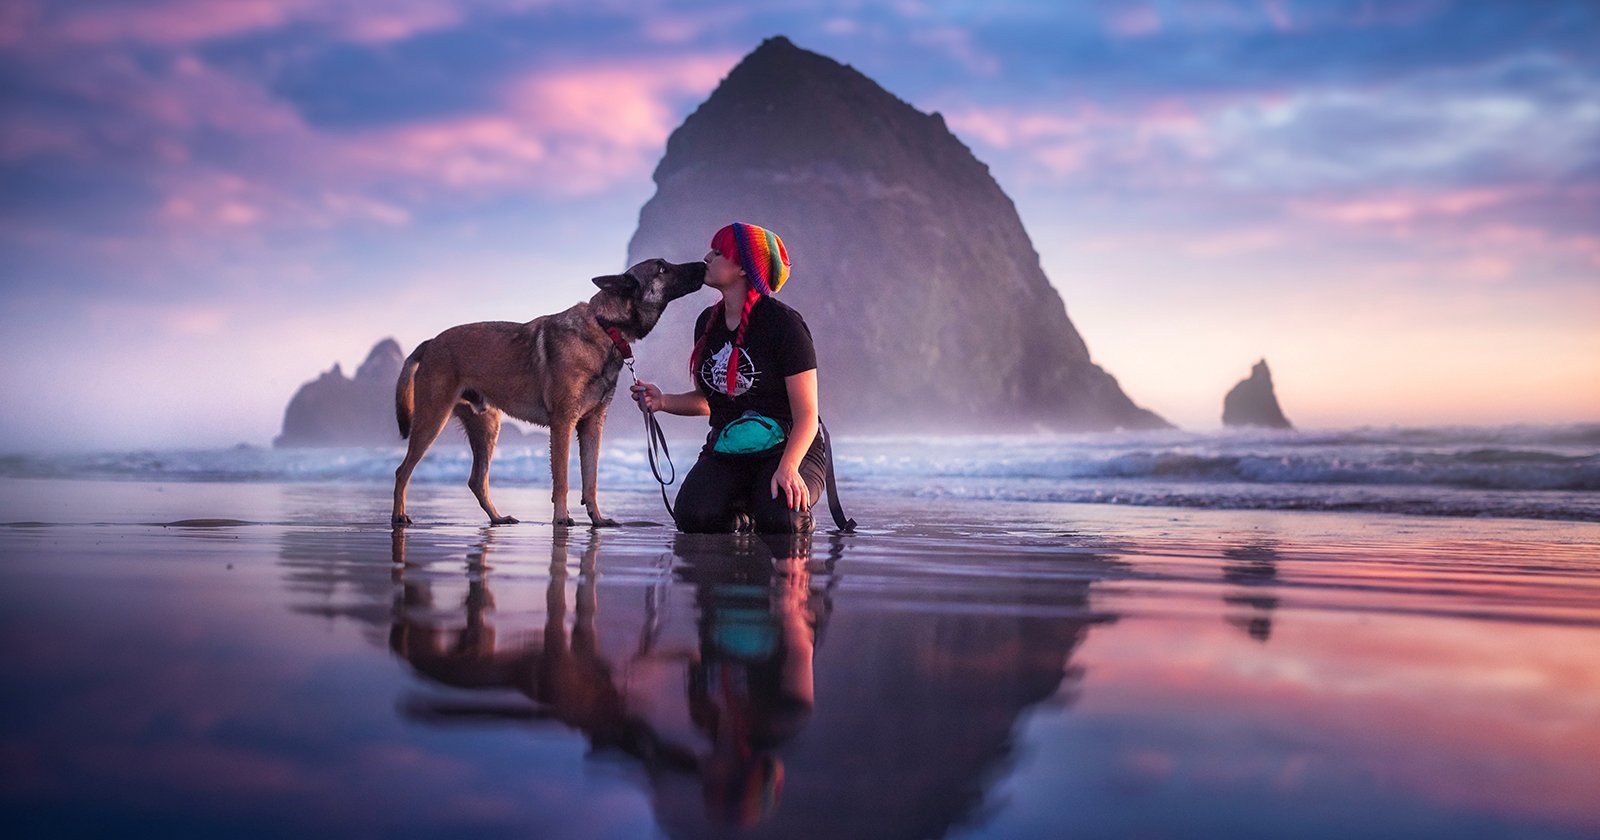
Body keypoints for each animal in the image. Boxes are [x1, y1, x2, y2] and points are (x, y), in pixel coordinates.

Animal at [390, 259, 704, 528]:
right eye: (661, 268)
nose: (703, 263)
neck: (605, 325)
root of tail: (431, 342)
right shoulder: (563, 423)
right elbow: (562, 479)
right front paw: (561, 518)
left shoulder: (592, 426)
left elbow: (591, 479)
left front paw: (597, 519)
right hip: (432, 420)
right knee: (402, 470)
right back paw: (399, 516)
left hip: (487, 427)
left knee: (477, 480)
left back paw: (497, 518)